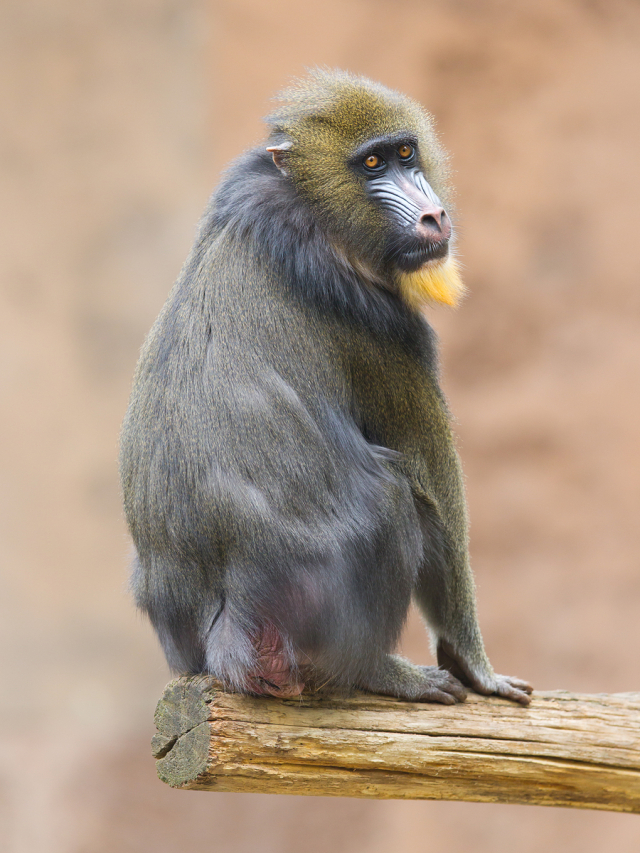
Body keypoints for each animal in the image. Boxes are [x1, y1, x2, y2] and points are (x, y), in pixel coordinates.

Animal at [119, 68, 528, 704]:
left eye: (406, 154)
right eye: (371, 164)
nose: (433, 218)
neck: (308, 206)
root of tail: (229, 632)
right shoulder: (382, 326)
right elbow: (434, 475)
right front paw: (475, 667)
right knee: (393, 495)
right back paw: (381, 671)